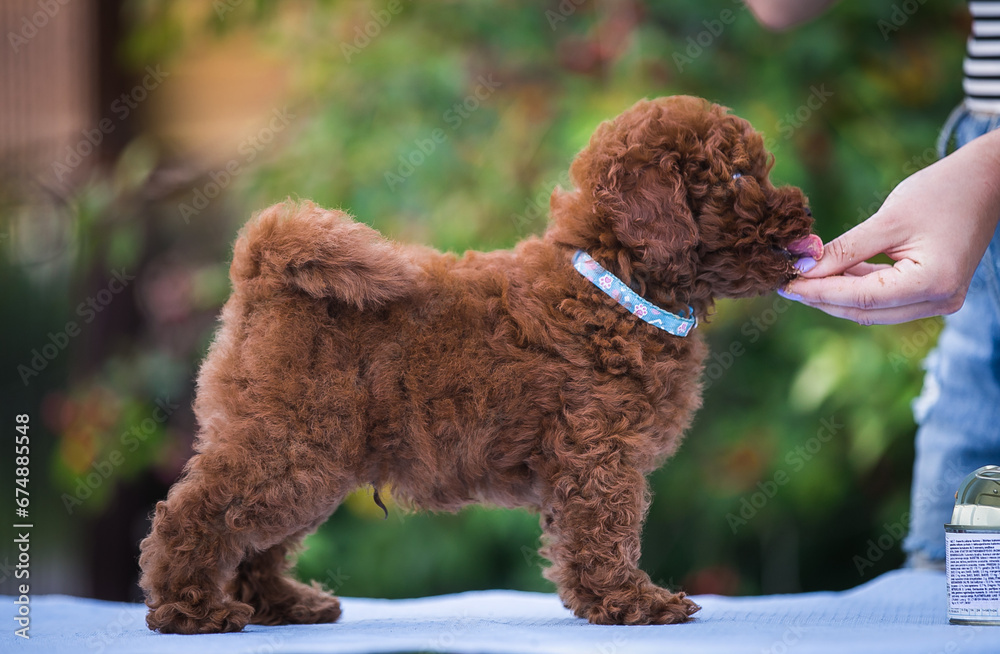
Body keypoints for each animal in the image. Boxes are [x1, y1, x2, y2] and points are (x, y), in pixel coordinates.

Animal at [137, 95, 820, 632]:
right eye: (738, 175)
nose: (805, 215)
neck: (615, 285)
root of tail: (264, 268)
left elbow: (586, 535)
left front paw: (608, 601)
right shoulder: (598, 453)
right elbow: (607, 531)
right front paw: (635, 603)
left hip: (310, 454)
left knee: (258, 540)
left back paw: (285, 604)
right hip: (291, 442)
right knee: (195, 512)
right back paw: (190, 608)